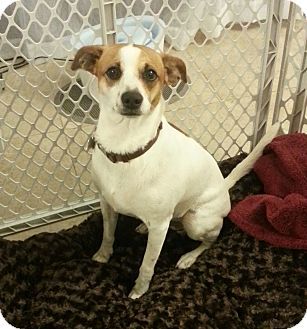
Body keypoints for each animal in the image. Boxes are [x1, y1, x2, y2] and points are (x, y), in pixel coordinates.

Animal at [71, 44, 280, 300]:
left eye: (151, 74)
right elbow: (107, 234)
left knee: (212, 239)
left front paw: (139, 291)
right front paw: (102, 256)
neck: (126, 149)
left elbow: (147, 264)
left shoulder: (159, 227)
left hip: (195, 221)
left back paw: (188, 257)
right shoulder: (106, 204)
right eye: (112, 71)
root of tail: (223, 186)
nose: (132, 98)